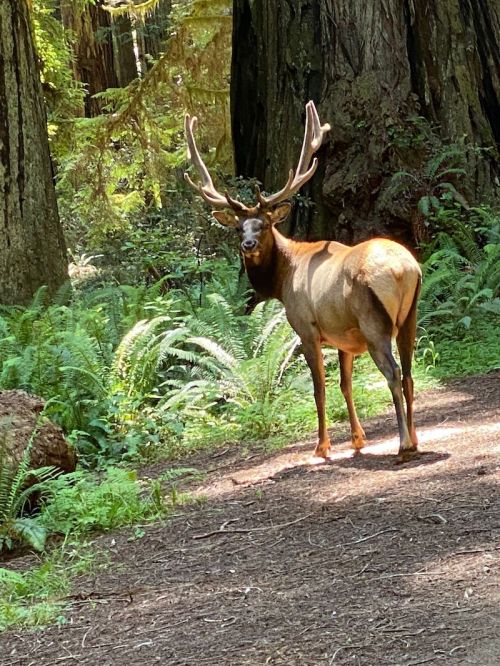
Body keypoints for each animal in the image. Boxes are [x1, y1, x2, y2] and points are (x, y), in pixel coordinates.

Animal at [184, 101, 422, 462]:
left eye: (265, 224)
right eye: (239, 227)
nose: (247, 245)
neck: (283, 279)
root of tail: (404, 269)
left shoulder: (306, 328)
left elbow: (319, 387)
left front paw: (322, 446)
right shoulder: (343, 336)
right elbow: (345, 385)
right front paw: (357, 439)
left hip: (374, 321)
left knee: (394, 374)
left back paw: (404, 443)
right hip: (410, 316)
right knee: (409, 374)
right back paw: (416, 439)